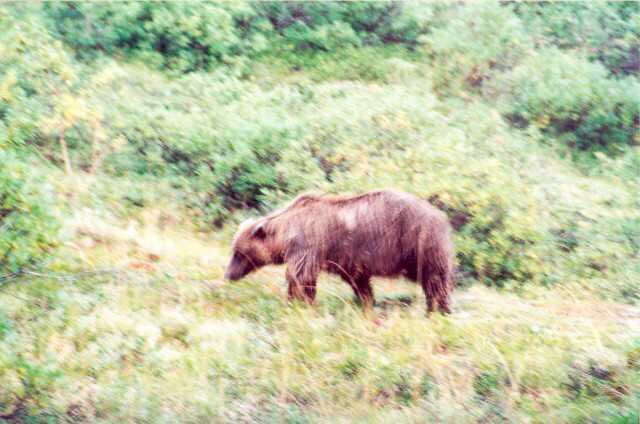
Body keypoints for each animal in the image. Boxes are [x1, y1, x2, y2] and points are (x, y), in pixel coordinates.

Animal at [224, 189, 454, 314]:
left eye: (238, 253)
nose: (228, 275)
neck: (285, 233)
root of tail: (440, 214)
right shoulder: (346, 258)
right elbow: (357, 280)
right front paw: (366, 301)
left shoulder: (308, 246)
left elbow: (301, 277)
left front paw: (298, 302)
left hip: (419, 241)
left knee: (435, 279)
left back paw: (439, 308)